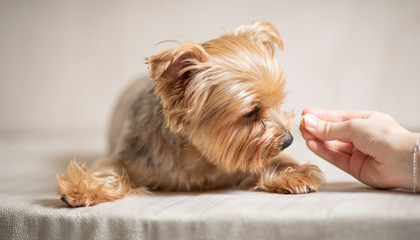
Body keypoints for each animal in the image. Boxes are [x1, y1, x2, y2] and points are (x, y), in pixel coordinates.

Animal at [57, 21, 324, 208]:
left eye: (279, 103)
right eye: (251, 112)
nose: (288, 140)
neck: (197, 154)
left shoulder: (241, 155)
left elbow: (269, 161)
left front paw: (293, 174)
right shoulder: (130, 154)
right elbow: (112, 168)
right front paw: (84, 190)